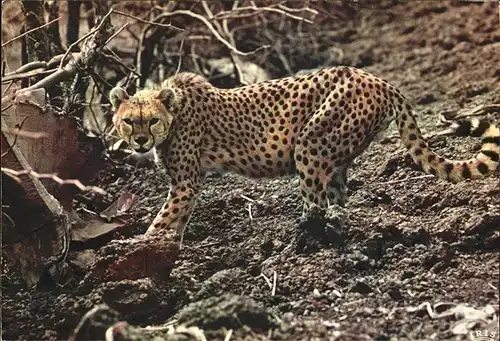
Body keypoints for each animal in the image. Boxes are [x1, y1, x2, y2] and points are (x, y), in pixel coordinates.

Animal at [111, 66, 498, 246]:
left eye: (152, 120)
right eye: (129, 121)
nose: (141, 141)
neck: (173, 113)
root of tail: (377, 79)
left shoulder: (186, 182)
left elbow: (164, 218)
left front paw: (141, 243)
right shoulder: (186, 184)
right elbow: (174, 223)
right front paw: (162, 248)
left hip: (310, 144)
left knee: (315, 201)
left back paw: (305, 237)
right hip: (335, 153)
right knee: (338, 198)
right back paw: (337, 224)